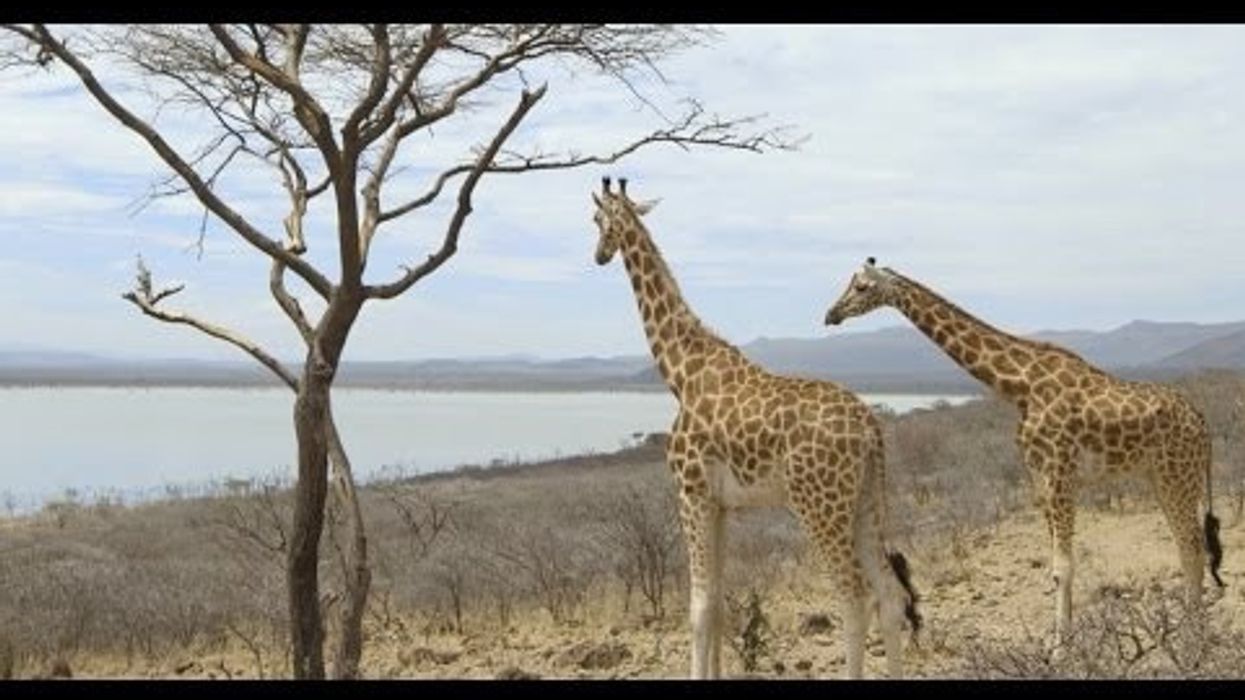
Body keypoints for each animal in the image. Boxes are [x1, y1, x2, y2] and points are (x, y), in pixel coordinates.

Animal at [591, 178, 920, 679]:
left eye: (595, 220)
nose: (598, 255)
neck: (681, 372)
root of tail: (870, 429)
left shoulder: (690, 493)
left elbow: (698, 606)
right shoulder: (722, 504)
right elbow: (718, 603)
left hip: (819, 506)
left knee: (854, 595)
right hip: (865, 500)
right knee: (888, 591)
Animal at [824, 258, 1225, 647]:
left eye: (862, 287)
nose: (831, 314)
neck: (1019, 387)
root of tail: (1203, 423)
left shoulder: (1060, 471)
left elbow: (1063, 566)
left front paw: (1062, 650)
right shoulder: (1038, 475)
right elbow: (1055, 567)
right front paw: (1062, 642)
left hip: (1178, 476)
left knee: (1193, 545)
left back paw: (1195, 636)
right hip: (1161, 477)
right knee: (1186, 545)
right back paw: (1192, 629)